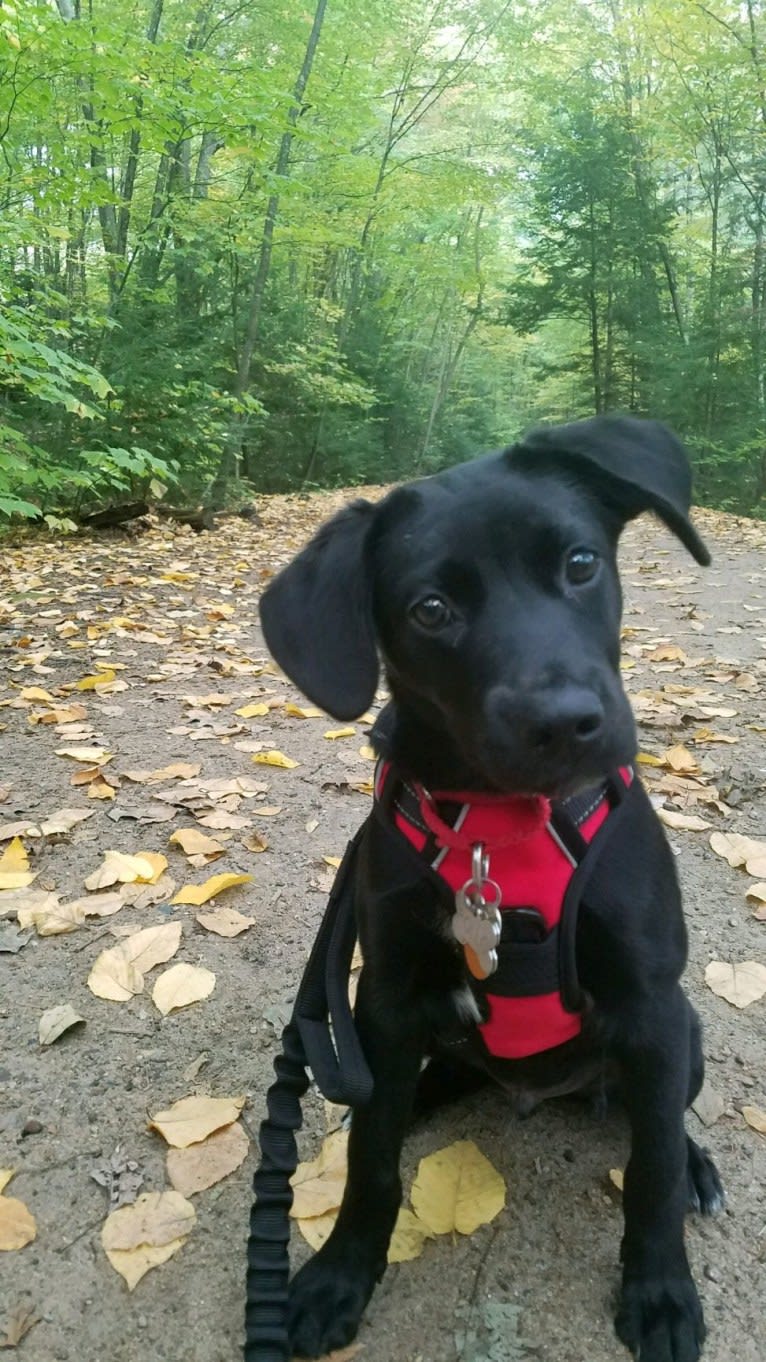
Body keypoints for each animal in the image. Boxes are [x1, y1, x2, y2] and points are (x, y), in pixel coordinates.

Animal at [257, 414, 719, 1362]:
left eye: (581, 563)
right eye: (431, 610)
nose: (568, 724)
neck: (499, 832)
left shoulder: (653, 1006)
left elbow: (650, 1170)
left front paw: (660, 1291)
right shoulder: (388, 995)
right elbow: (370, 1162)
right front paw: (341, 1273)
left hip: (680, 1032)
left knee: (660, 1118)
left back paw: (694, 1162)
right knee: (406, 1090)